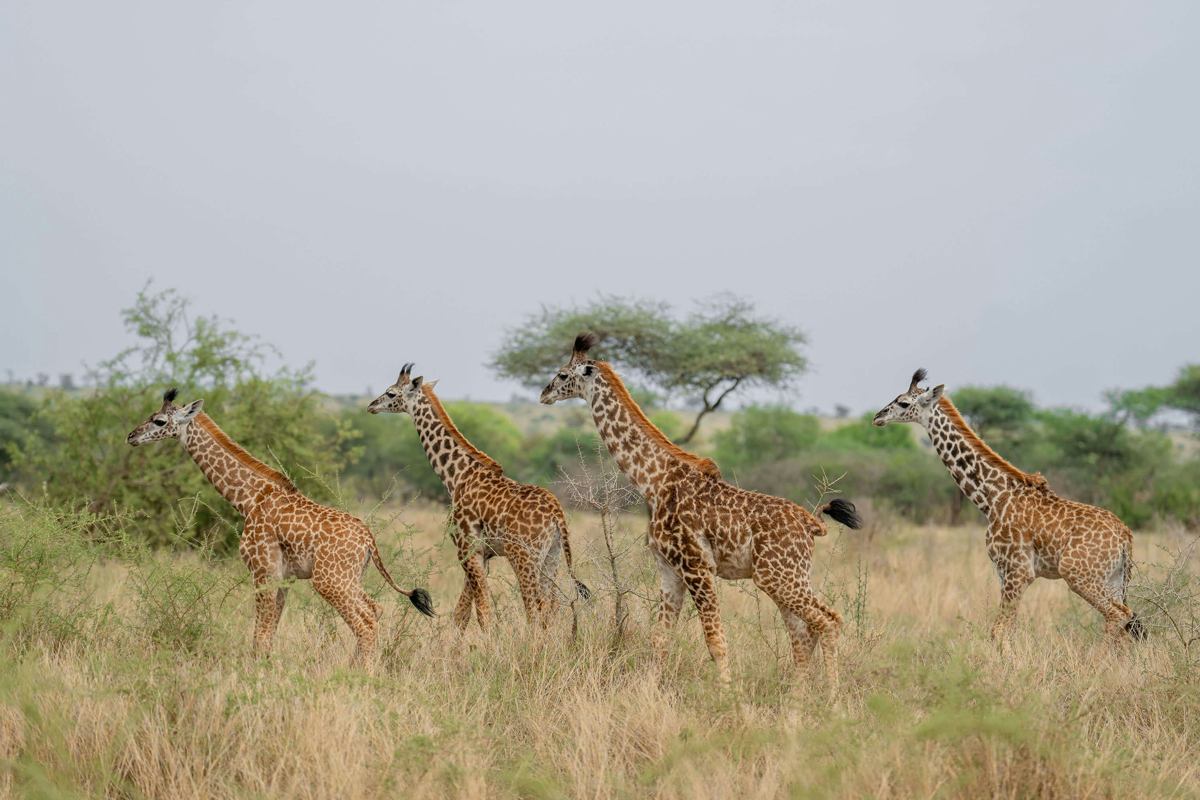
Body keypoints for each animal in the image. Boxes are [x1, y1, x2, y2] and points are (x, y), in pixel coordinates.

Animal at [126, 389, 435, 664]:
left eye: (159, 421)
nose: (131, 436)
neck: (249, 499)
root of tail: (370, 540)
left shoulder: (263, 571)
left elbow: (260, 636)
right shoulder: (284, 577)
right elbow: (268, 634)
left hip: (328, 580)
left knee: (366, 623)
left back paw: (363, 677)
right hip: (351, 578)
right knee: (376, 609)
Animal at [368, 364, 589, 633]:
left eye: (390, 393)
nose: (371, 406)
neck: (457, 476)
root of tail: (556, 514)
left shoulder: (467, 548)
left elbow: (483, 613)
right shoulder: (481, 554)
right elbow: (461, 613)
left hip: (524, 557)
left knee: (534, 607)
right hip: (553, 556)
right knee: (551, 607)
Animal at [539, 334, 863, 686]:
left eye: (562, 374)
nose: (543, 394)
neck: (653, 482)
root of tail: (811, 524)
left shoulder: (697, 566)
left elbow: (715, 640)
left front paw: (729, 696)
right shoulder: (669, 570)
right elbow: (661, 639)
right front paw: (651, 692)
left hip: (776, 576)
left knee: (826, 623)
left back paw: (830, 697)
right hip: (790, 576)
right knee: (810, 630)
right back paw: (797, 696)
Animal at [872, 369, 1145, 643]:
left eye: (903, 403)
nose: (878, 417)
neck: (992, 498)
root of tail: (1125, 535)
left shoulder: (1017, 570)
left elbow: (998, 631)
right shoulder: (1005, 573)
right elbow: (1009, 629)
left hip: (1078, 573)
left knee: (1118, 615)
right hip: (1114, 578)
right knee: (1128, 619)